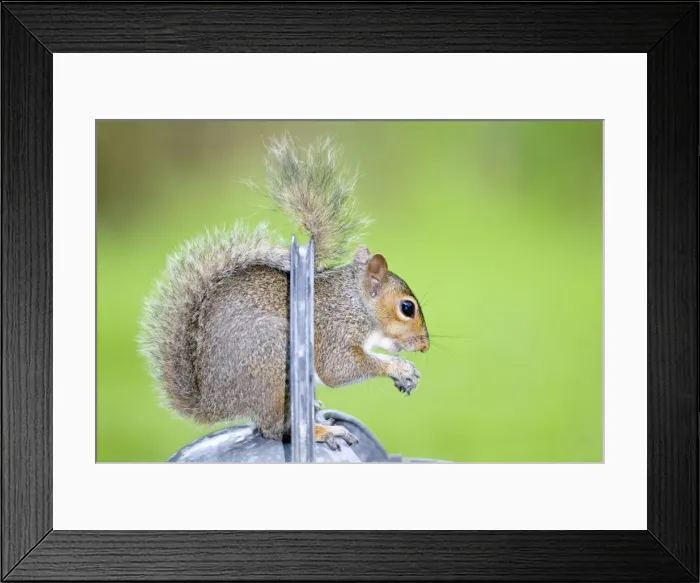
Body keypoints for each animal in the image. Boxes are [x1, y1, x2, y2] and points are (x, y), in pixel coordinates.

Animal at [139, 135, 430, 451]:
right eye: (407, 308)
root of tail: (215, 403)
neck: (354, 303)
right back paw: (324, 432)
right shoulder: (334, 331)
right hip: (273, 363)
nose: (425, 346)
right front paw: (400, 369)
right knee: (272, 428)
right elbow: (340, 368)